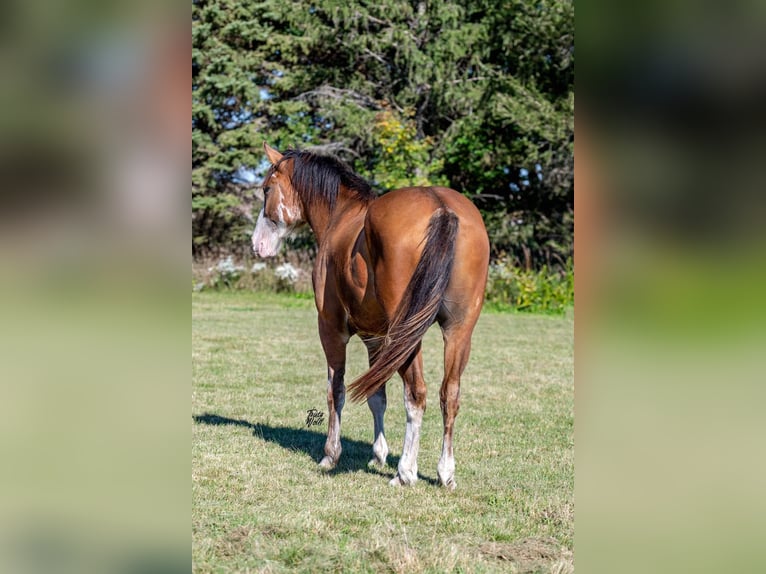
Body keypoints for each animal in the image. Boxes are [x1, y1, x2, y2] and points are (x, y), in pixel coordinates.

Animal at [255, 144, 488, 490]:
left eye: (267, 189)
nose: (257, 245)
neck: (342, 217)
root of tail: (442, 207)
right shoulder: (374, 337)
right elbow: (377, 395)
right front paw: (378, 454)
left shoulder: (331, 329)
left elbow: (335, 390)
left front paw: (330, 454)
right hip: (458, 331)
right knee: (450, 395)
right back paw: (445, 473)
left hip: (406, 335)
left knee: (416, 395)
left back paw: (405, 472)